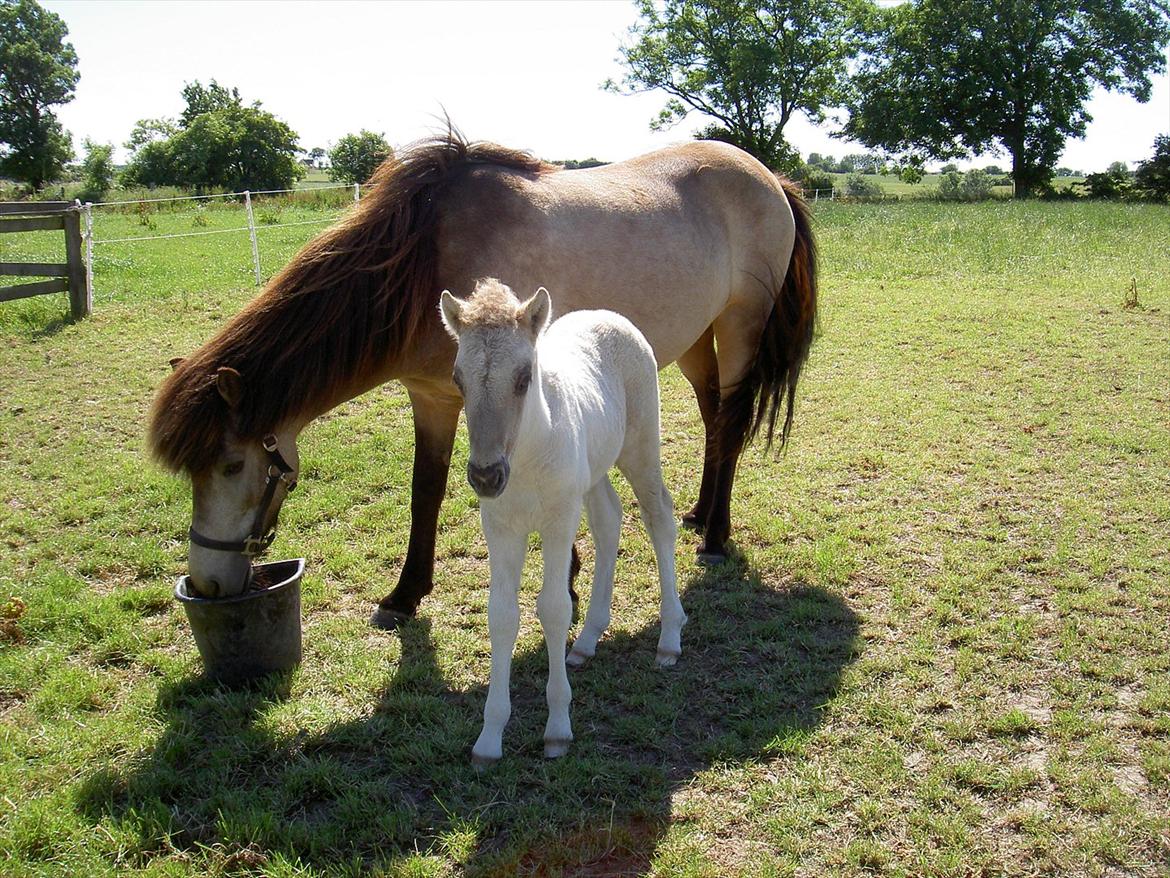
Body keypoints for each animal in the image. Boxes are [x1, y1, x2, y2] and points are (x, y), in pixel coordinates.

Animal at [150, 130, 819, 627]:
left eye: (231, 465)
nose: (207, 583)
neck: (428, 256)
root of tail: (770, 178)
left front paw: (567, 585)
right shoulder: (434, 399)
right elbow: (426, 491)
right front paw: (404, 595)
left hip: (739, 329)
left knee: (731, 422)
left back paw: (717, 536)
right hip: (694, 341)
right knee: (714, 419)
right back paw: (702, 514)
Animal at [442, 279, 683, 763]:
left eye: (523, 377)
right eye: (458, 380)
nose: (485, 475)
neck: (528, 454)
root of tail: (609, 315)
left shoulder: (558, 521)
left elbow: (553, 608)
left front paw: (557, 729)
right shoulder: (500, 528)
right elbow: (502, 616)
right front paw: (489, 738)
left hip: (640, 448)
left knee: (660, 519)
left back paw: (670, 637)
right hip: (591, 473)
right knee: (609, 520)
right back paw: (588, 641)